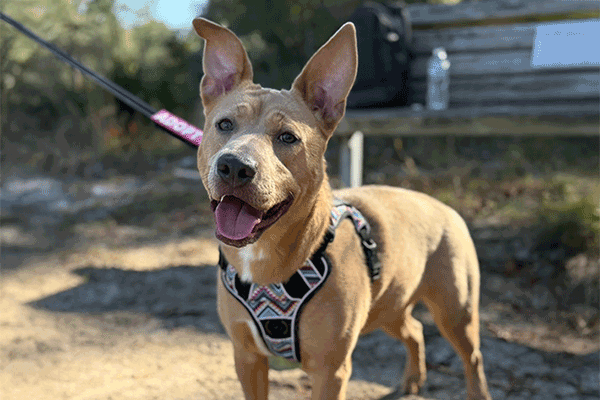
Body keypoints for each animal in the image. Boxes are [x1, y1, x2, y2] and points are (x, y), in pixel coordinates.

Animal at [192, 16, 492, 400]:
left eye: (288, 137)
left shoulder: (330, 371)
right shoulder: (246, 358)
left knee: (474, 358)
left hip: (456, 313)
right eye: (224, 124)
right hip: (389, 307)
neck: (266, 267)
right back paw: (411, 380)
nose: (233, 166)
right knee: (414, 330)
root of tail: (444, 206)